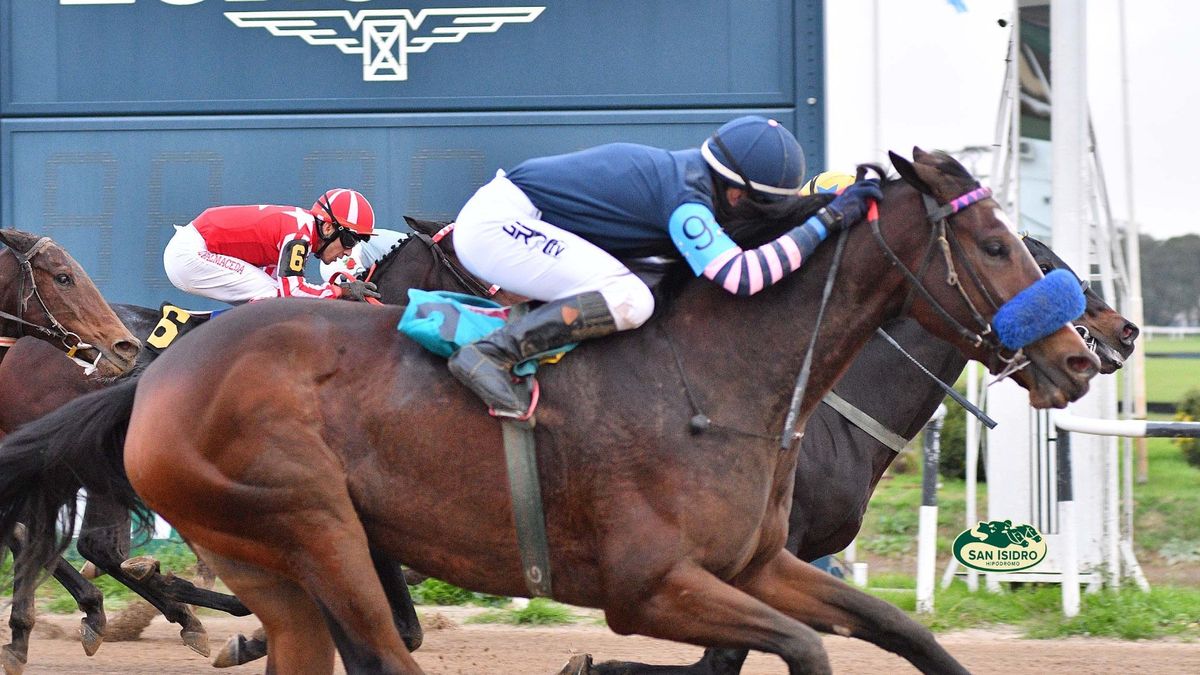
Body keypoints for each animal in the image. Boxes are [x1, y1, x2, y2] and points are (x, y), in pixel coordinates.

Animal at [0, 149, 1099, 667]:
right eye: (1000, 246)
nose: (1087, 353)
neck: (726, 378)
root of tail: (153, 370)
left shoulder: (761, 563)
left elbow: (898, 633)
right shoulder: (649, 585)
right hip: (308, 522)